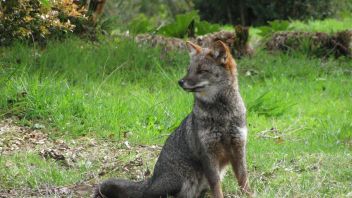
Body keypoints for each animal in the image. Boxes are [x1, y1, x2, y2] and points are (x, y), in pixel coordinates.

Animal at [94, 40, 250, 198]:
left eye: (202, 70)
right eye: (189, 69)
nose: (180, 82)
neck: (223, 116)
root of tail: (151, 180)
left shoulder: (238, 148)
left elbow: (244, 179)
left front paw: (249, 194)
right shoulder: (208, 153)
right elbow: (217, 185)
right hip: (182, 179)